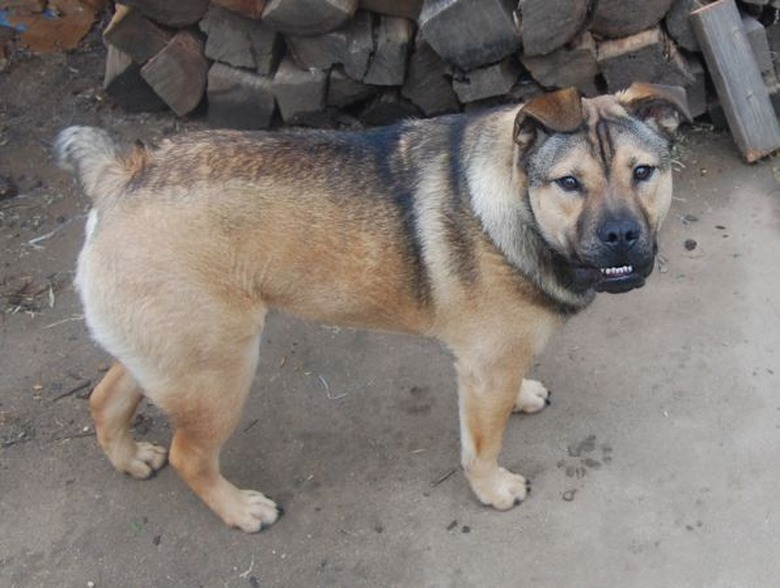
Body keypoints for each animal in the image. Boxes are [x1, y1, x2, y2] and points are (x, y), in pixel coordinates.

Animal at [54, 84, 688, 532]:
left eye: (643, 172)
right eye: (568, 183)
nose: (621, 236)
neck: (515, 205)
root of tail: (122, 175)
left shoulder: (493, 366)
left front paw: (524, 395)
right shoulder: (485, 370)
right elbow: (482, 445)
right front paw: (493, 490)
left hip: (170, 353)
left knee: (106, 397)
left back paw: (129, 457)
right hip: (218, 370)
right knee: (190, 454)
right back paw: (240, 510)